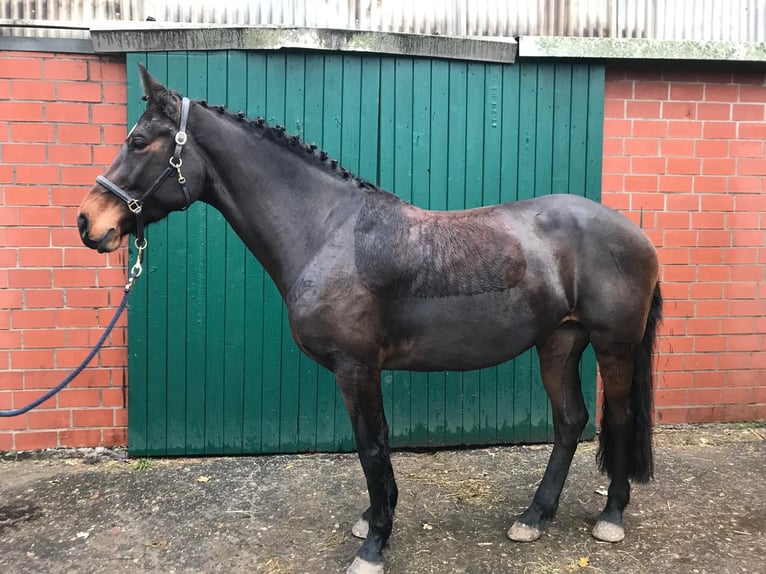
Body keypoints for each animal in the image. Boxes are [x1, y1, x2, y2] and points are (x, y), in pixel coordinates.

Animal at [78, 65, 662, 574]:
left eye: (138, 142)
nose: (88, 222)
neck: (328, 230)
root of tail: (635, 233)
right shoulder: (363, 370)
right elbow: (375, 447)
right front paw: (372, 521)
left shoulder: (356, 367)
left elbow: (371, 447)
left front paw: (374, 544)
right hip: (558, 342)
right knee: (570, 422)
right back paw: (534, 517)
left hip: (613, 347)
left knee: (619, 417)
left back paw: (610, 516)